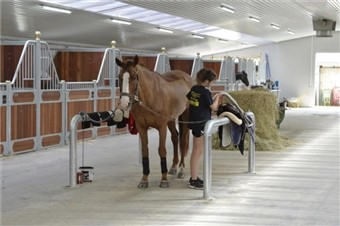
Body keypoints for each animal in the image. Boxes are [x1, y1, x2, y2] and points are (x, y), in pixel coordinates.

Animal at [115, 55, 195, 188]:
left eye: (134, 77)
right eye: (120, 77)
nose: (124, 103)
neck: (151, 96)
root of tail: (188, 78)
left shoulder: (161, 127)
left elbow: (162, 150)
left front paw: (164, 180)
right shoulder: (142, 127)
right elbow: (145, 151)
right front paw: (144, 179)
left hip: (186, 116)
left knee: (183, 141)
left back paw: (181, 170)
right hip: (171, 120)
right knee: (175, 138)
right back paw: (173, 167)